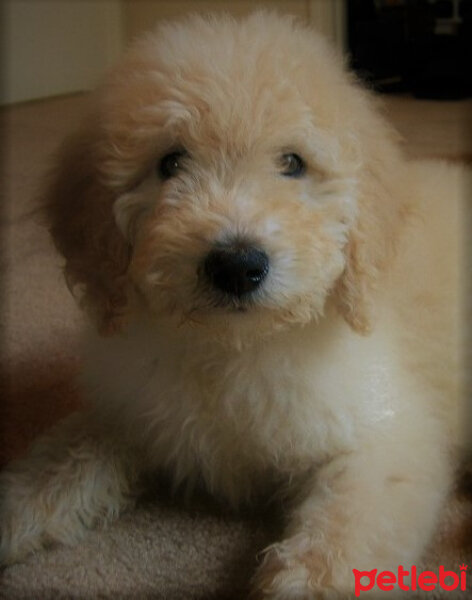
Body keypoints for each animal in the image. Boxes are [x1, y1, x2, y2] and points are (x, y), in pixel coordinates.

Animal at [0, 10, 468, 600]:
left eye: (292, 162)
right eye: (170, 162)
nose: (238, 266)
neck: (235, 347)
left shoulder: (388, 439)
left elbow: (342, 537)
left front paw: (304, 581)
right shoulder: (132, 408)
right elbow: (61, 458)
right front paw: (14, 511)